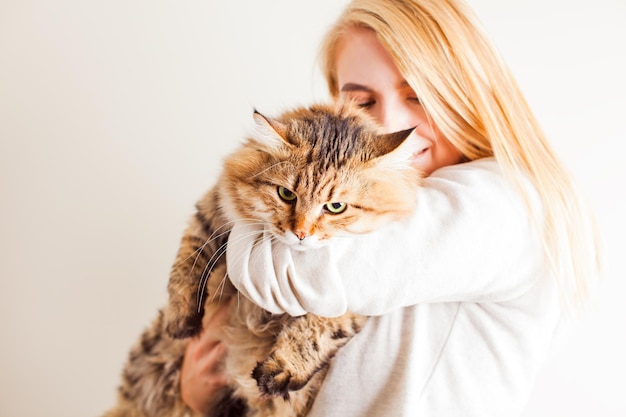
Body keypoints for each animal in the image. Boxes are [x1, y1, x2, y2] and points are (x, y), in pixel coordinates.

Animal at [102, 101, 422, 416]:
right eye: (286, 194)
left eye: (335, 207)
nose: (300, 233)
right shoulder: (213, 210)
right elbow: (187, 262)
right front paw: (182, 318)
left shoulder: (365, 285)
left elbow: (320, 328)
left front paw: (281, 370)